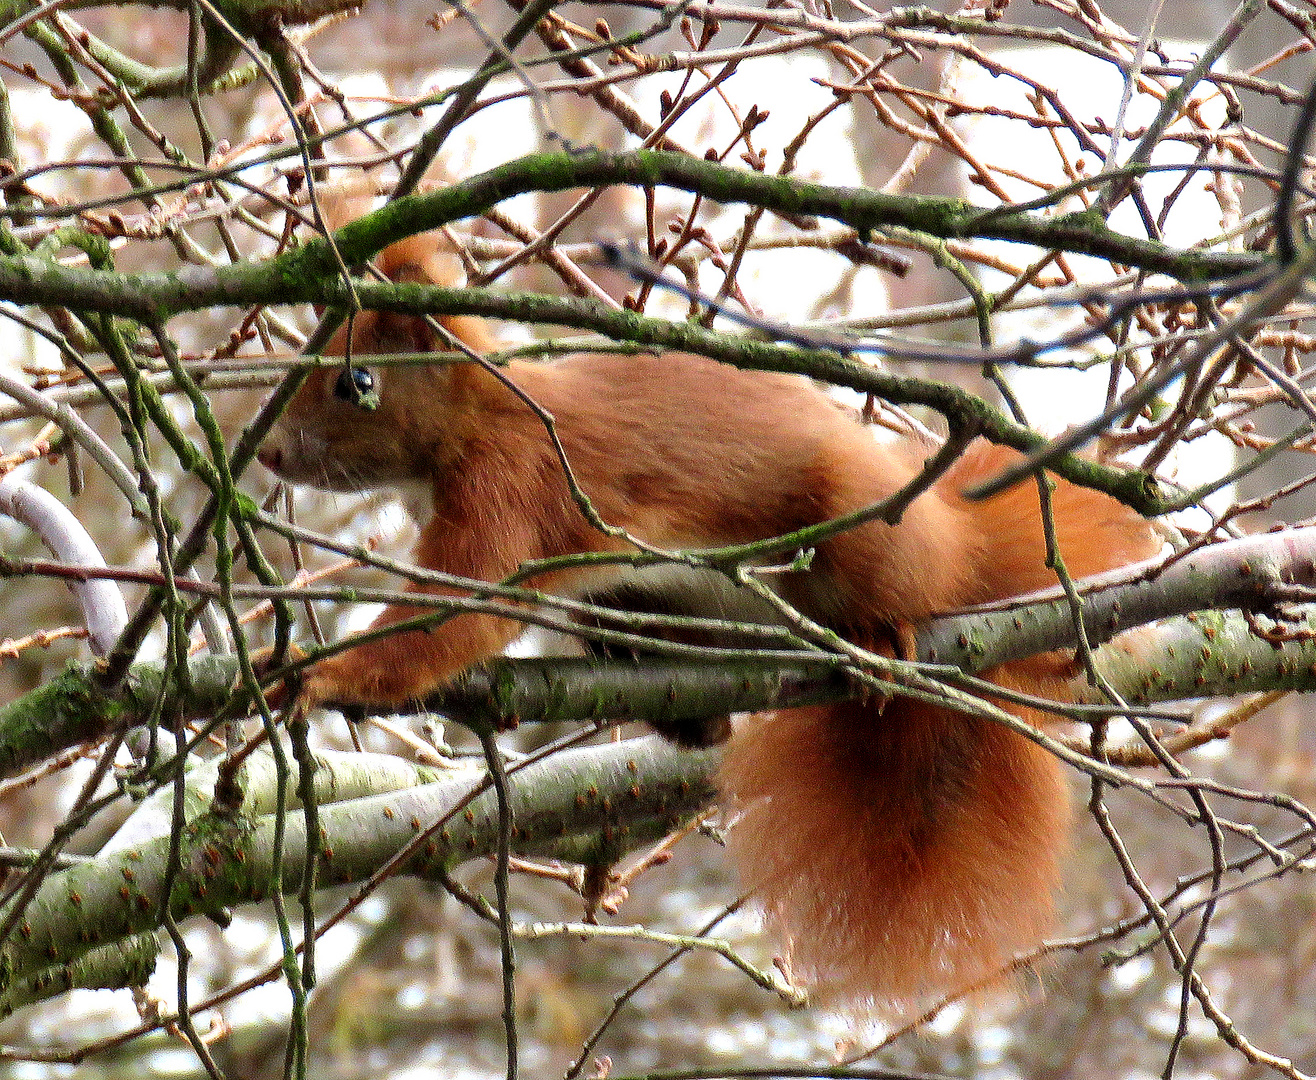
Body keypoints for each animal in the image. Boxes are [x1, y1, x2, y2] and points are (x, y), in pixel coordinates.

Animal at [253, 217, 1152, 1010]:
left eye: (358, 382)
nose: (266, 450)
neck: (480, 411)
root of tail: (963, 545)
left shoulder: (515, 476)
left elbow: (457, 610)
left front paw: (319, 672)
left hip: (863, 528)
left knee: (906, 588)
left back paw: (878, 633)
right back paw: (673, 700)